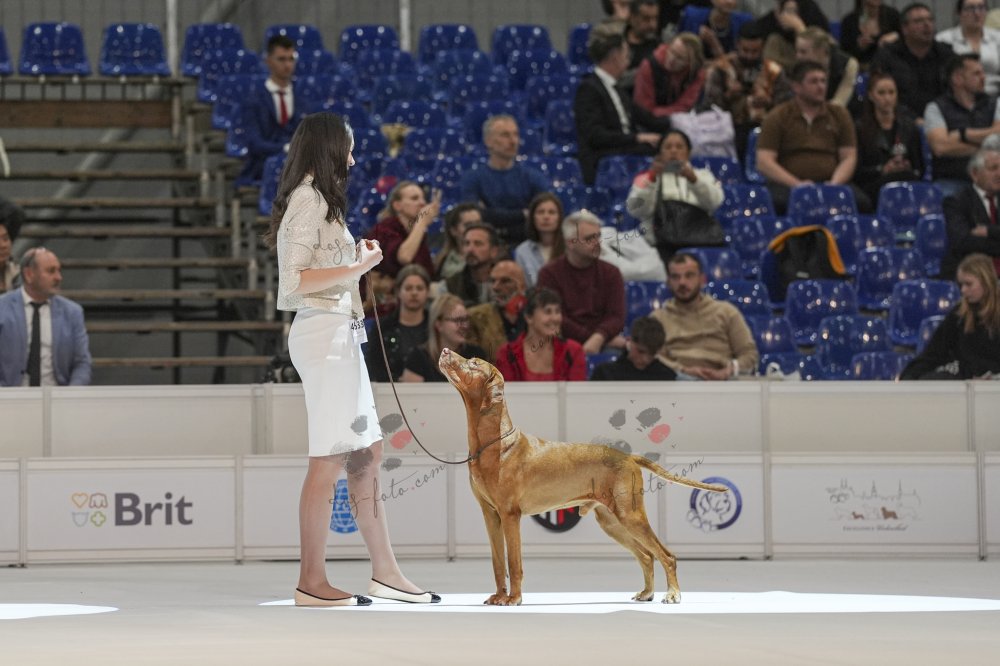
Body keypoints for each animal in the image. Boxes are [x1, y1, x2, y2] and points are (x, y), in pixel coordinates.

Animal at [438, 348, 728, 606]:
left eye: (474, 362)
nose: (444, 350)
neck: (494, 443)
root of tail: (629, 457)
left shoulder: (510, 515)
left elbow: (514, 561)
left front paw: (514, 599)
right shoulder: (491, 515)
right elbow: (498, 562)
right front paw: (499, 596)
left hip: (630, 515)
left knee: (666, 555)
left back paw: (673, 594)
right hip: (611, 521)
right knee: (646, 556)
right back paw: (647, 593)